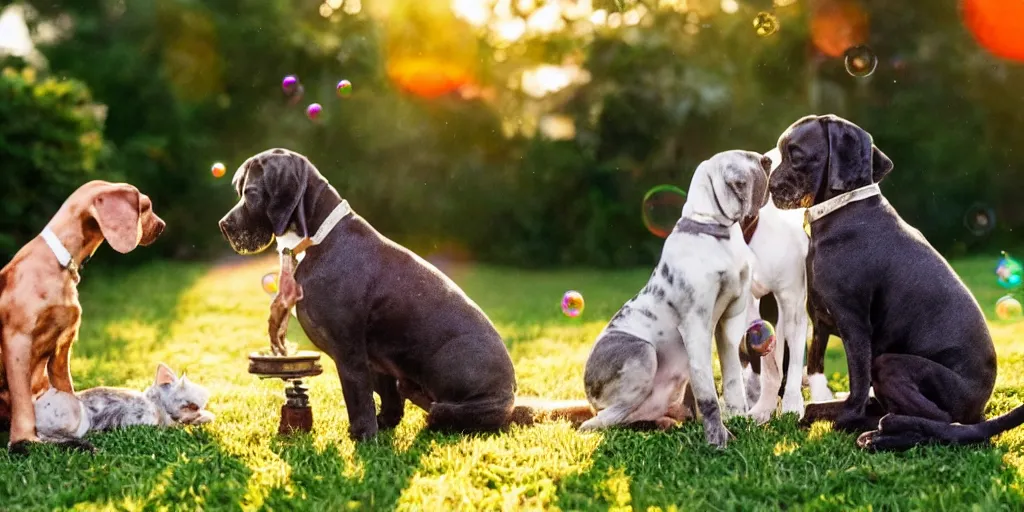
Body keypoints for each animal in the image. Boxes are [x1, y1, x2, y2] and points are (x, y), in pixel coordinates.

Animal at [0, 182, 163, 454]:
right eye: (146, 206)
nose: (162, 226)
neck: (61, 263)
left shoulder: (62, 344)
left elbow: (67, 389)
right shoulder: (17, 339)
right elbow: (22, 399)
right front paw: (25, 441)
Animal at [34, 362, 214, 442]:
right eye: (191, 405)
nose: (198, 410)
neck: (155, 404)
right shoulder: (162, 422)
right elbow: (179, 423)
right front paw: (205, 417)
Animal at [220, 147, 589, 440]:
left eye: (250, 192)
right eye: (240, 190)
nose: (224, 225)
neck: (316, 236)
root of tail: (511, 400)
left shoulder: (350, 351)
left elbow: (358, 398)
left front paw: (363, 437)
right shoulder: (376, 358)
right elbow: (386, 398)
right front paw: (383, 426)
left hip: (449, 400)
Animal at [585, 149, 770, 448]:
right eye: (742, 163)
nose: (767, 160)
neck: (714, 230)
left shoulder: (729, 320)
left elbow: (733, 383)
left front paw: (739, 424)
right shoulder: (696, 325)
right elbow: (708, 395)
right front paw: (718, 441)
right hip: (643, 352)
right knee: (602, 418)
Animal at [770, 114, 1019, 450]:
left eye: (795, 154)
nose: (770, 186)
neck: (844, 210)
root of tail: (978, 408)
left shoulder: (854, 325)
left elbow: (854, 393)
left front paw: (837, 415)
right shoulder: (820, 320)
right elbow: (815, 366)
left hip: (890, 363)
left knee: (940, 421)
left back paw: (883, 432)